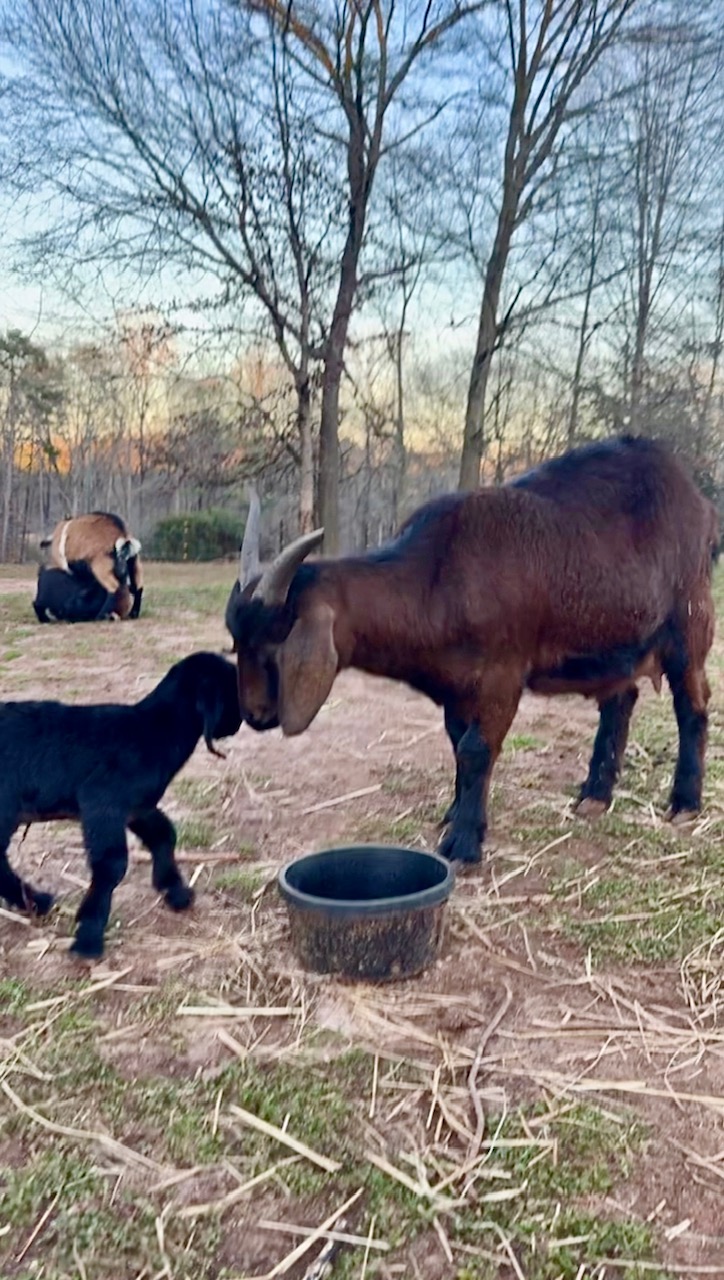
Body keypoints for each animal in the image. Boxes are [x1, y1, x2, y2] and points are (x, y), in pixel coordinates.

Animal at [0, 655, 244, 957]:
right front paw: (88, 936)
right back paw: (37, 901)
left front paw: (175, 892)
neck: (154, 730)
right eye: (233, 688)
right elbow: (111, 864)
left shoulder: (136, 807)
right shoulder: (102, 803)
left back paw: (34, 902)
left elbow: (163, 834)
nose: (241, 721)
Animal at [227, 435, 721, 865]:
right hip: (616, 637)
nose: (254, 713)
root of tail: (694, 497)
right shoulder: (455, 684)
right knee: (621, 699)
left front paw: (463, 842)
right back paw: (595, 796)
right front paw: (456, 814)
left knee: (692, 703)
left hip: (689, 620)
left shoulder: (502, 674)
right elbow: (455, 744)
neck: (438, 577)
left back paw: (684, 802)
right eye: (236, 642)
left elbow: (476, 749)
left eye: (273, 643)